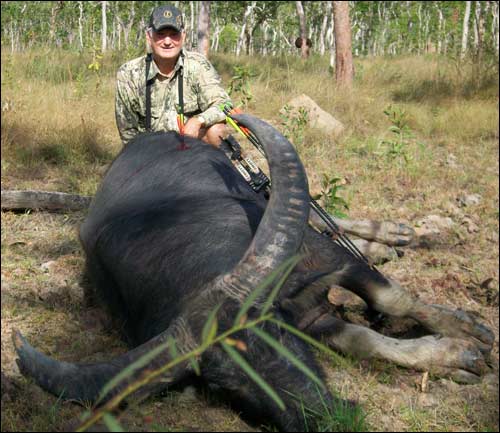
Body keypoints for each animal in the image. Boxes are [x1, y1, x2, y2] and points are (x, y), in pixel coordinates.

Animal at [13, 114, 494, 428]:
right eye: (227, 385)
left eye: (274, 332)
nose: (325, 418)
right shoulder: (314, 317)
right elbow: (365, 341)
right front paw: (454, 358)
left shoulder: (326, 259)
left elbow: (390, 297)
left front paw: (470, 332)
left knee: (325, 218)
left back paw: (396, 235)